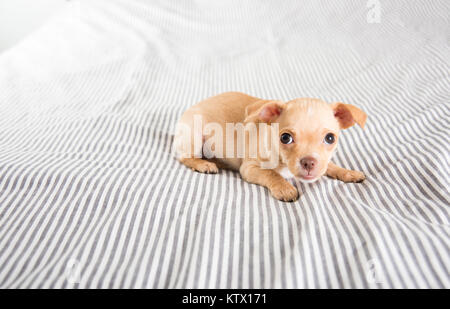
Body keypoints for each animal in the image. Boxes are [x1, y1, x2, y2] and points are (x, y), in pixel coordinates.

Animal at [174, 91, 368, 202]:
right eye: (285, 138)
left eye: (330, 138)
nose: (309, 162)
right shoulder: (250, 168)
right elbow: (271, 173)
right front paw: (284, 188)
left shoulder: (324, 163)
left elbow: (330, 166)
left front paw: (348, 172)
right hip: (194, 136)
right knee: (185, 157)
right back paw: (203, 164)